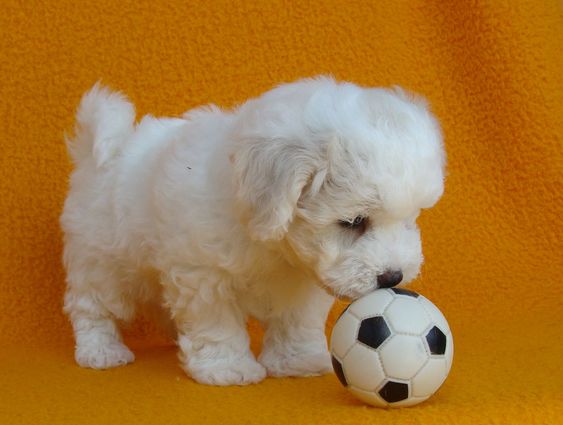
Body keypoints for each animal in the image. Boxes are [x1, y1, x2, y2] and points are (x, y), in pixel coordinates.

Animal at [61, 75, 448, 384]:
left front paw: (298, 362)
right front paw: (226, 369)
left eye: (410, 219)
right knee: (91, 305)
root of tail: (100, 156)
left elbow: (296, 320)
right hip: (101, 259)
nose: (393, 277)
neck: (269, 243)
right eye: (354, 222)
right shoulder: (203, 274)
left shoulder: (302, 281)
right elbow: (216, 323)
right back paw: (101, 351)